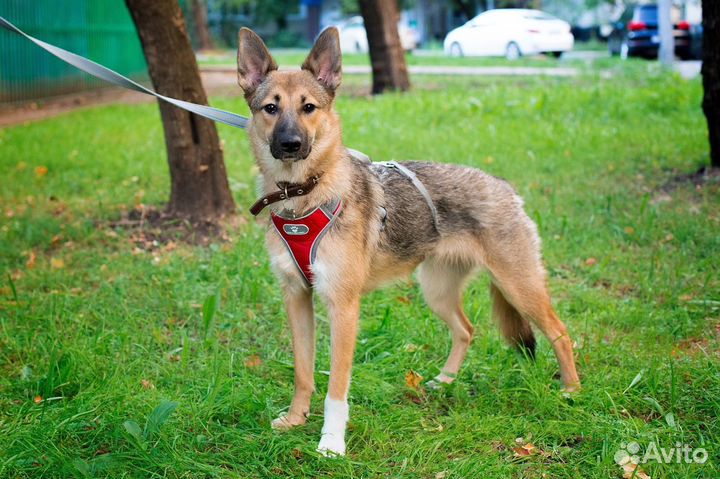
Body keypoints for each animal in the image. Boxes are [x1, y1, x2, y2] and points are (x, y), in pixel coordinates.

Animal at [239, 25, 584, 458]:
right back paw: (444, 381)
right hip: (437, 292)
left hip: (519, 287)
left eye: (309, 108)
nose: (290, 144)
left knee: (560, 333)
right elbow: (303, 373)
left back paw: (571, 391)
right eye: (271, 108)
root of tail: (505, 186)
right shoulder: (297, 298)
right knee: (466, 330)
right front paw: (295, 419)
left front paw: (331, 442)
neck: (303, 195)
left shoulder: (343, 308)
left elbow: (336, 388)